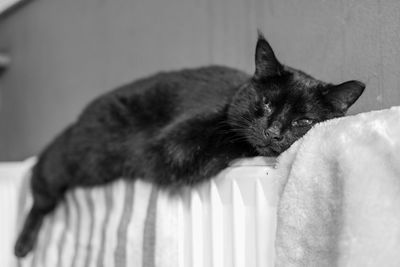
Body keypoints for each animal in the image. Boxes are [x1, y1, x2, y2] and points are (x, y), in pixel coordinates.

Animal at [14, 33, 366, 258]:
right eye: (266, 103)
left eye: (302, 121)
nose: (274, 132)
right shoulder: (174, 147)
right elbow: (229, 141)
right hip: (68, 161)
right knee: (40, 189)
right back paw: (22, 245)